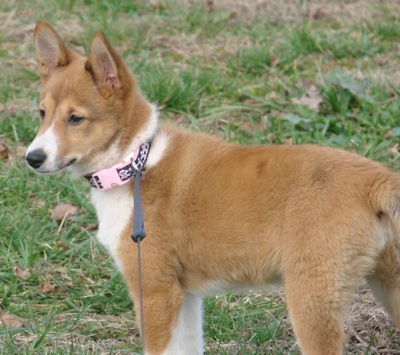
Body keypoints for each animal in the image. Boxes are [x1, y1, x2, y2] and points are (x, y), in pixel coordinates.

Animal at [25, 20, 400, 354]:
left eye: (76, 119)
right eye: (42, 113)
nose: (32, 158)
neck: (133, 162)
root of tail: (374, 179)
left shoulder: (155, 292)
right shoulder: (186, 297)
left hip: (312, 302)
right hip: (388, 286)